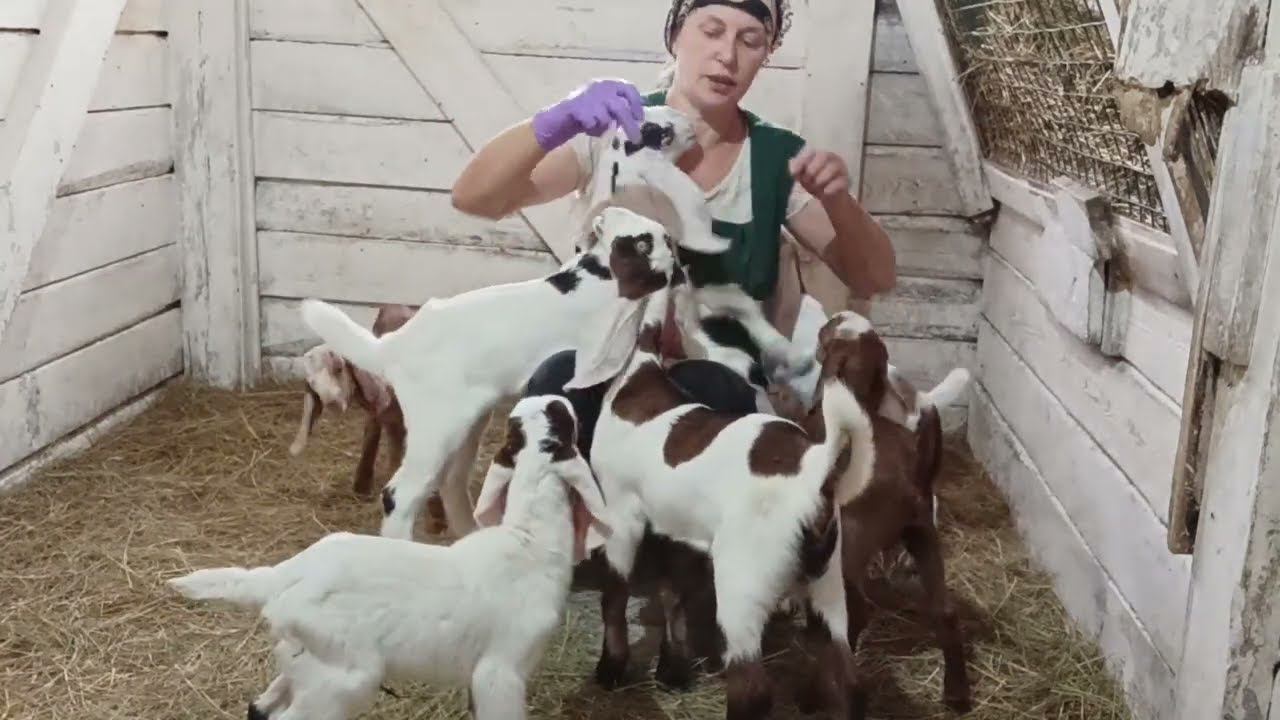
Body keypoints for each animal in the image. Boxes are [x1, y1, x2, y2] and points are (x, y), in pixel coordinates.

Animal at [166, 395, 613, 720]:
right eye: (562, 422)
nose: (555, 398)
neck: (530, 538)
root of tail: (282, 577)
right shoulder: (500, 673)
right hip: (343, 677)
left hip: (307, 663)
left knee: (260, 708)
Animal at [299, 205, 680, 542]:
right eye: (652, 242)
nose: (677, 255)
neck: (592, 277)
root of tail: (395, 345)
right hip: (436, 426)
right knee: (400, 494)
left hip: (466, 424)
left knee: (450, 483)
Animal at [563, 265, 878, 719]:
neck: (638, 378)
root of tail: (816, 473)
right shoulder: (679, 532)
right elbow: (672, 595)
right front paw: (673, 670)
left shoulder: (623, 517)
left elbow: (615, 596)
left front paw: (611, 668)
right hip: (826, 583)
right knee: (848, 676)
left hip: (742, 582)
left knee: (752, 687)